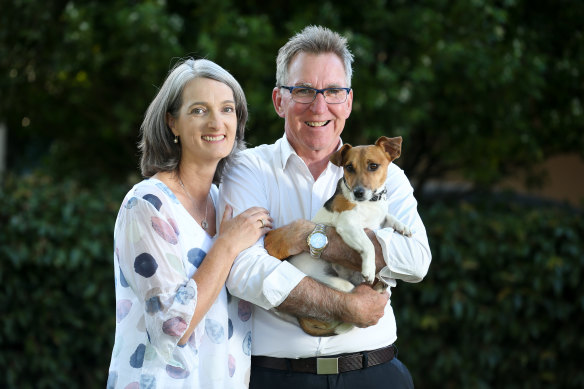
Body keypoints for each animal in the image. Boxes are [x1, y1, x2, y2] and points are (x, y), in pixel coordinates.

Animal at [266, 135, 412, 334]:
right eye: (349, 167)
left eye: (373, 166)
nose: (358, 193)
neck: (370, 203)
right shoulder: (348, 224)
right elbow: (368, 245)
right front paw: (369, 268)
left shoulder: (379, 218)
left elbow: (388, 217)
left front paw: (402, 226)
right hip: (334, 283)